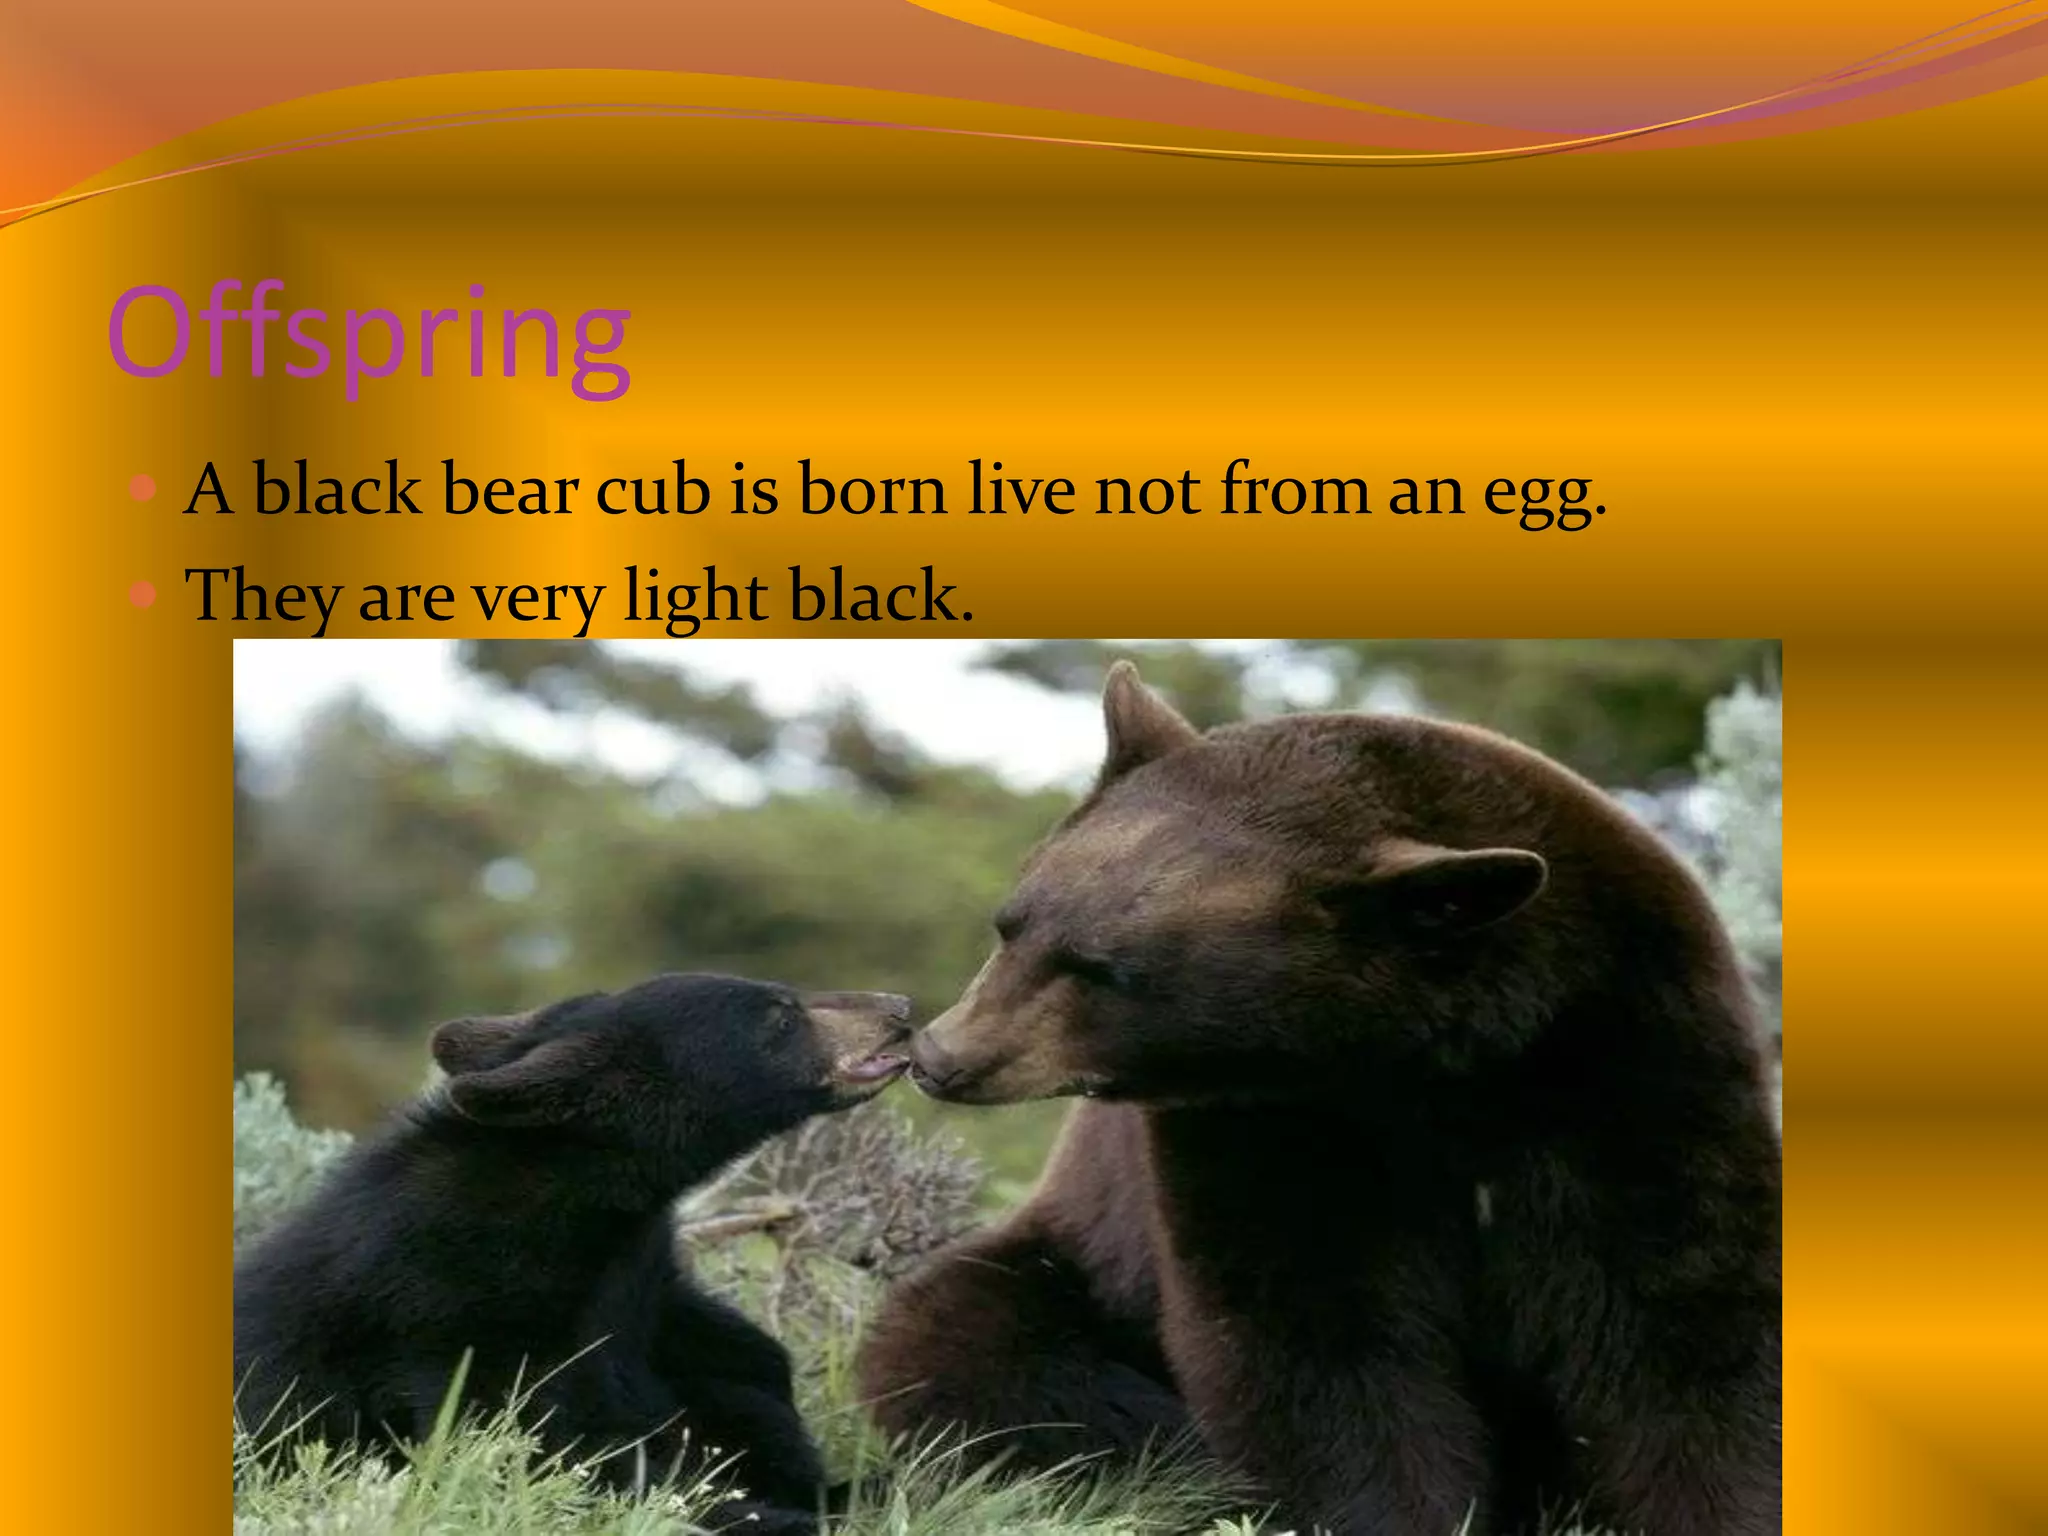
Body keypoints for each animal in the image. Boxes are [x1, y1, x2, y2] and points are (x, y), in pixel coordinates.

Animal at [235, 973, 914, 1533]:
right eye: (778, 1015)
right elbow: (536, 1446)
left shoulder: (642, 1284)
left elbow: (739, 1368)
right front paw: (758, 1512)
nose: (898, 1009)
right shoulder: (444, 1315)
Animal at [854, 663, 1781, 1536]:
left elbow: (1680, 1324)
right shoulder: (1274, 1126)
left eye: (1103, 971)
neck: (1437, 1066)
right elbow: (1314, 1342)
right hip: (1070, 1270)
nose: (942, 1055)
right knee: (969, 1345)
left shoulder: (1628, 1061)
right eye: (1011, 923)